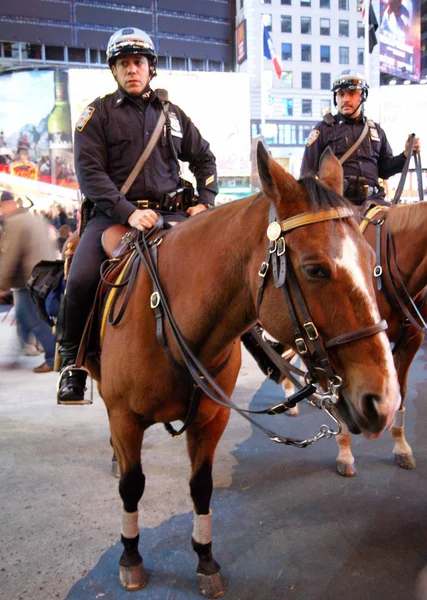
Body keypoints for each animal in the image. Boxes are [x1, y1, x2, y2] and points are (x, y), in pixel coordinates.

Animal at [89, 144, 402, 596]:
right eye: (315, 269)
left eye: (372, 260)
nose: (386, 399)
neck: (167, 319)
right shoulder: (126, 417)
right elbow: (132, 485)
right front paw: (130, 555)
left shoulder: (212, 417)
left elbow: (201, 486)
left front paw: (205, 558)